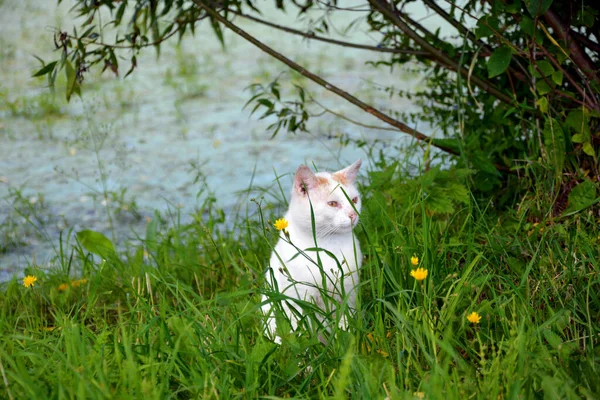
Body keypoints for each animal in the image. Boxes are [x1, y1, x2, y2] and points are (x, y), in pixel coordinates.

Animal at [262, 158, 360, 342]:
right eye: (332, 204)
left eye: (354, 200)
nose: (353, 214)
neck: (326, 245)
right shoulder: (299, 298)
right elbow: (304, 330)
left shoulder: (348, 293)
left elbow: (345, 321)